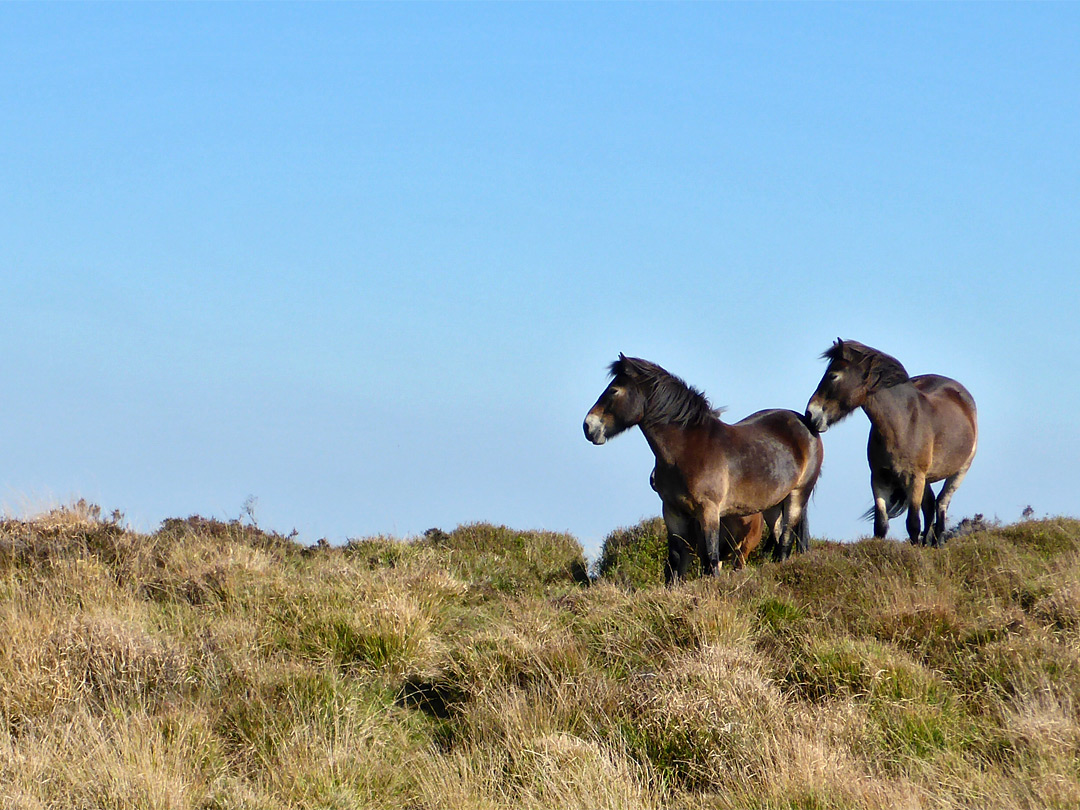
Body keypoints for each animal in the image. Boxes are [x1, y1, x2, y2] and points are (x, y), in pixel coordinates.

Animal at [587, 354, 820, 583]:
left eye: (614, 390)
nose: (588, 426)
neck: (686, 450)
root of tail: (806, 423)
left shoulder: (708, 510)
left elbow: (710, 557)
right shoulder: (672, 510)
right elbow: (677, 558)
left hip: (797, 495)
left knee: (786, 540)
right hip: (773, 505)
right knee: (780, 536)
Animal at [803, 339, 980, 548]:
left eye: (833, 375)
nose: (810, 414)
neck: (903, 423)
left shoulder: (915, 478)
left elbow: (913, 523)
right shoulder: (879, 478)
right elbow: (880, 524)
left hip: (958, 472)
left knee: (941, 503)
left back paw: (938, 543)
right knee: (930, 505)